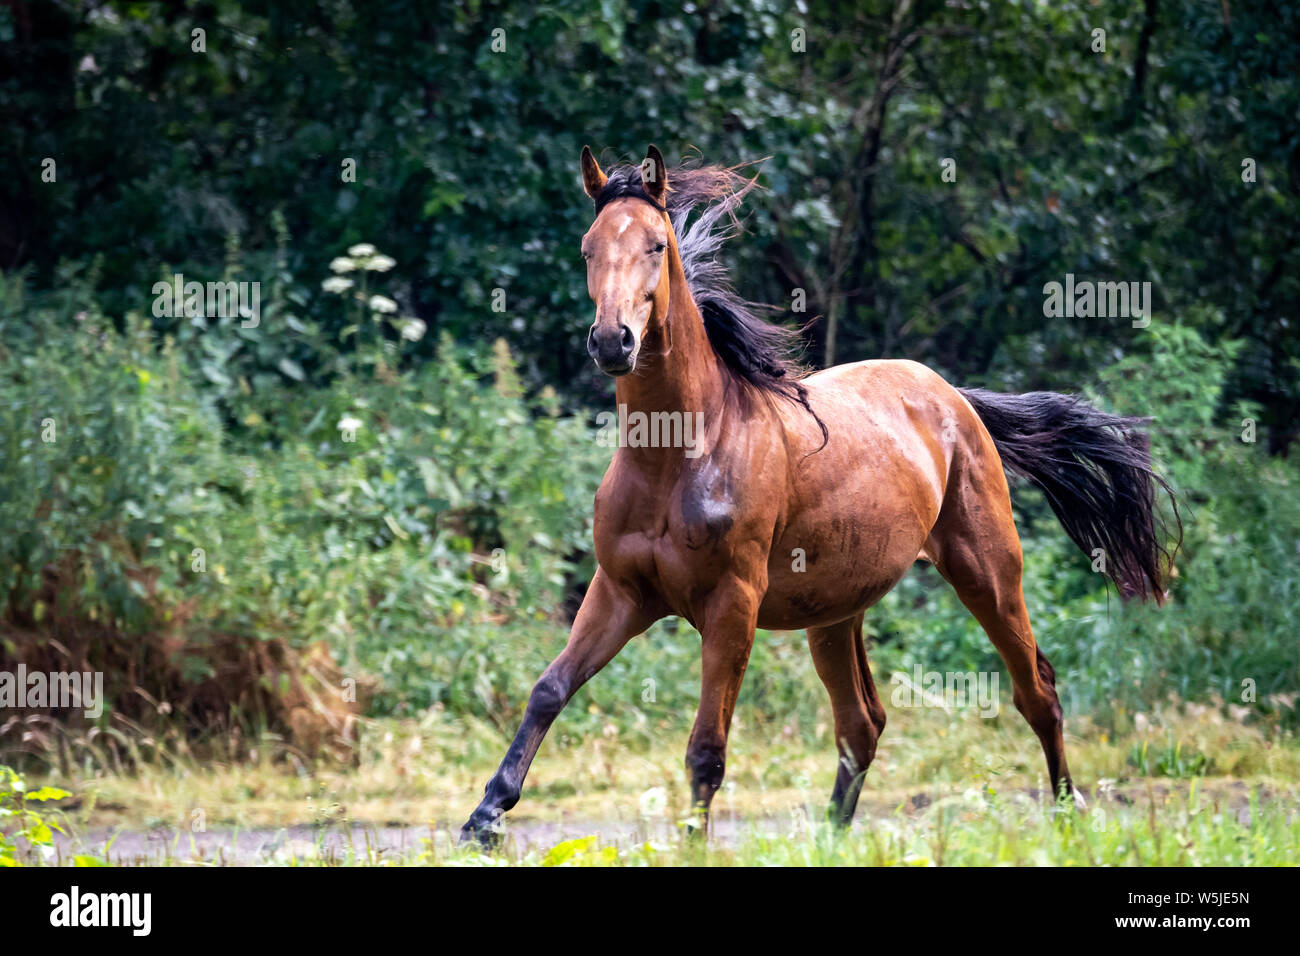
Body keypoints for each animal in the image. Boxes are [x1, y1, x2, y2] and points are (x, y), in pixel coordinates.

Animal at [462, 143, 1185, 842]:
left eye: (657, 246)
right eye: (588, 247)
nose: (613, 341)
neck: (677, 458)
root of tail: (955, 398)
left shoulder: (732, 606)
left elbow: (706, 748)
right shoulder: (621, 592)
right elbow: (549, 689)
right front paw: (483, 819)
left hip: (988, 573)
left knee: (1036, 690)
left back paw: (1066, 813)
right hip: (835, 613)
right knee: (863, 722)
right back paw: (835, 836)